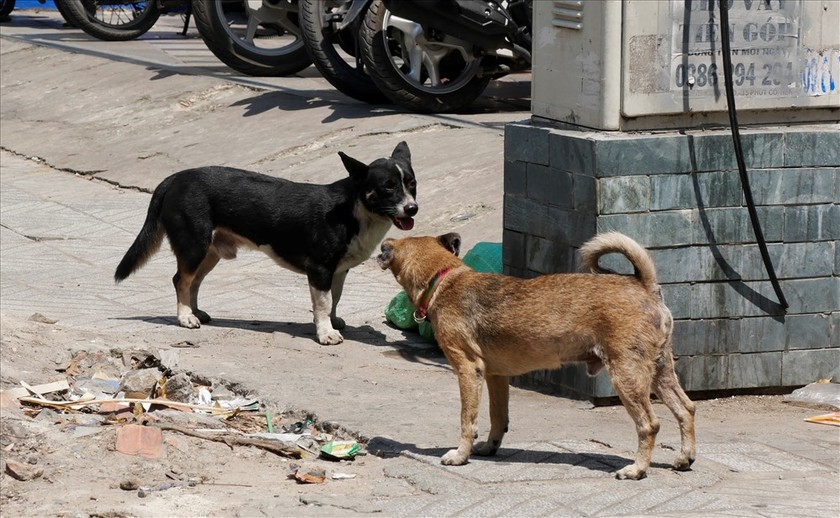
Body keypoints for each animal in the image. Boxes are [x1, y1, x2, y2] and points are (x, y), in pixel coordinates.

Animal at [116, 142, 418, 346]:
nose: (413, 208)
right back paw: (185, 317)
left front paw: (332, 322)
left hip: (208, 254)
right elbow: (322, 303)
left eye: (412, 184)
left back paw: (195, 311)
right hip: (194, 246)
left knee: (194, 283)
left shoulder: (339, 271)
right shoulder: (319, 269)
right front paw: (325, 332)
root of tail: (175, 178)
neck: (356, 210)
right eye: (388, 187)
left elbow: (334, 298)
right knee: (181, 280)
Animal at [378, 234, 696, 482]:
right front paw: (490, 447)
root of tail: (645, 286)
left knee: (649, 424)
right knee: (685, 408)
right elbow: (498, 417)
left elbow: (467, 419)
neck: (442, 280)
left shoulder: (468, 370)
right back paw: (685, 458)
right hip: (660, 371)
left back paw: (637, 469)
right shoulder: (495, 376)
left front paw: (460, 455)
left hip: (626, 374)